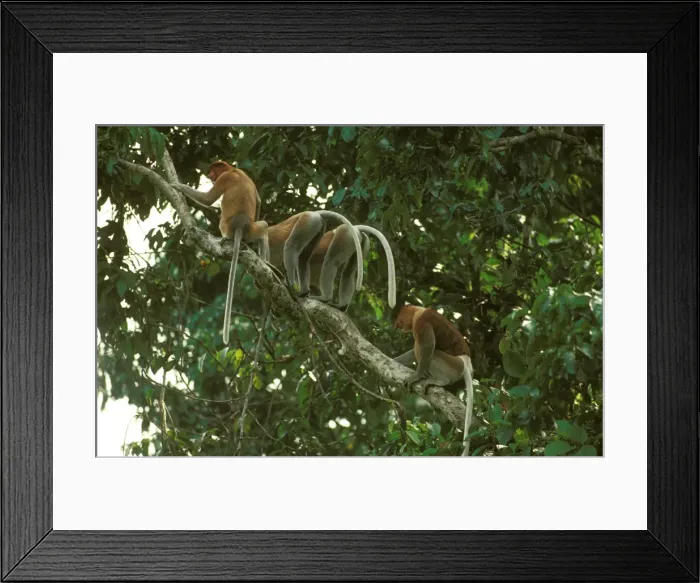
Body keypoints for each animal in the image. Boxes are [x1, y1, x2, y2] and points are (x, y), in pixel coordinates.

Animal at [170, 161, 269, 345]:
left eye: (213, 170)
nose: (209, 175)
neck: (233, 169)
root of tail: (240, 225)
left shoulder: (224, 178)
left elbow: (208, 199)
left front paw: (177, 186)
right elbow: (259, 200)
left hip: (225, 225)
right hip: (253, 228)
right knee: (264, 227)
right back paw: (264, 262)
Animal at [393, 304, 474, 456]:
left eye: (399, 316)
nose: (396, 324)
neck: (417, 313)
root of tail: (466, 363)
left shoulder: (422, 323)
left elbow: (428, 346)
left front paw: (416, 376)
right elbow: (413, 352)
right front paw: (395, 359)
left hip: (454, 366)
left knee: (432, 352)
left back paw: (439, 380)